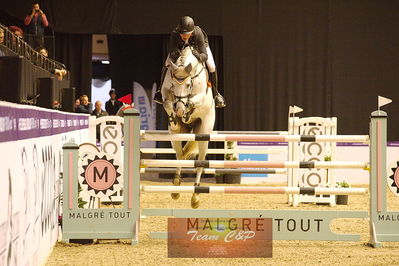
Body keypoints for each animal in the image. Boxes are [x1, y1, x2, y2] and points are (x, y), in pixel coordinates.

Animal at [161, 45, 216, 208]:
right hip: (175, 139)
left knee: (200, 163)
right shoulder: (166, 93)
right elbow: (168, 103)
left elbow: (193, 102)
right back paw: (176, 187)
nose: (179, 110)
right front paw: (175, 120)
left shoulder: (200, 97)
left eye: (188, 85)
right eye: (173, 85)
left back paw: (195, 196)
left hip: (204, 135)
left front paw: (186, 112)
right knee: (180, 155)